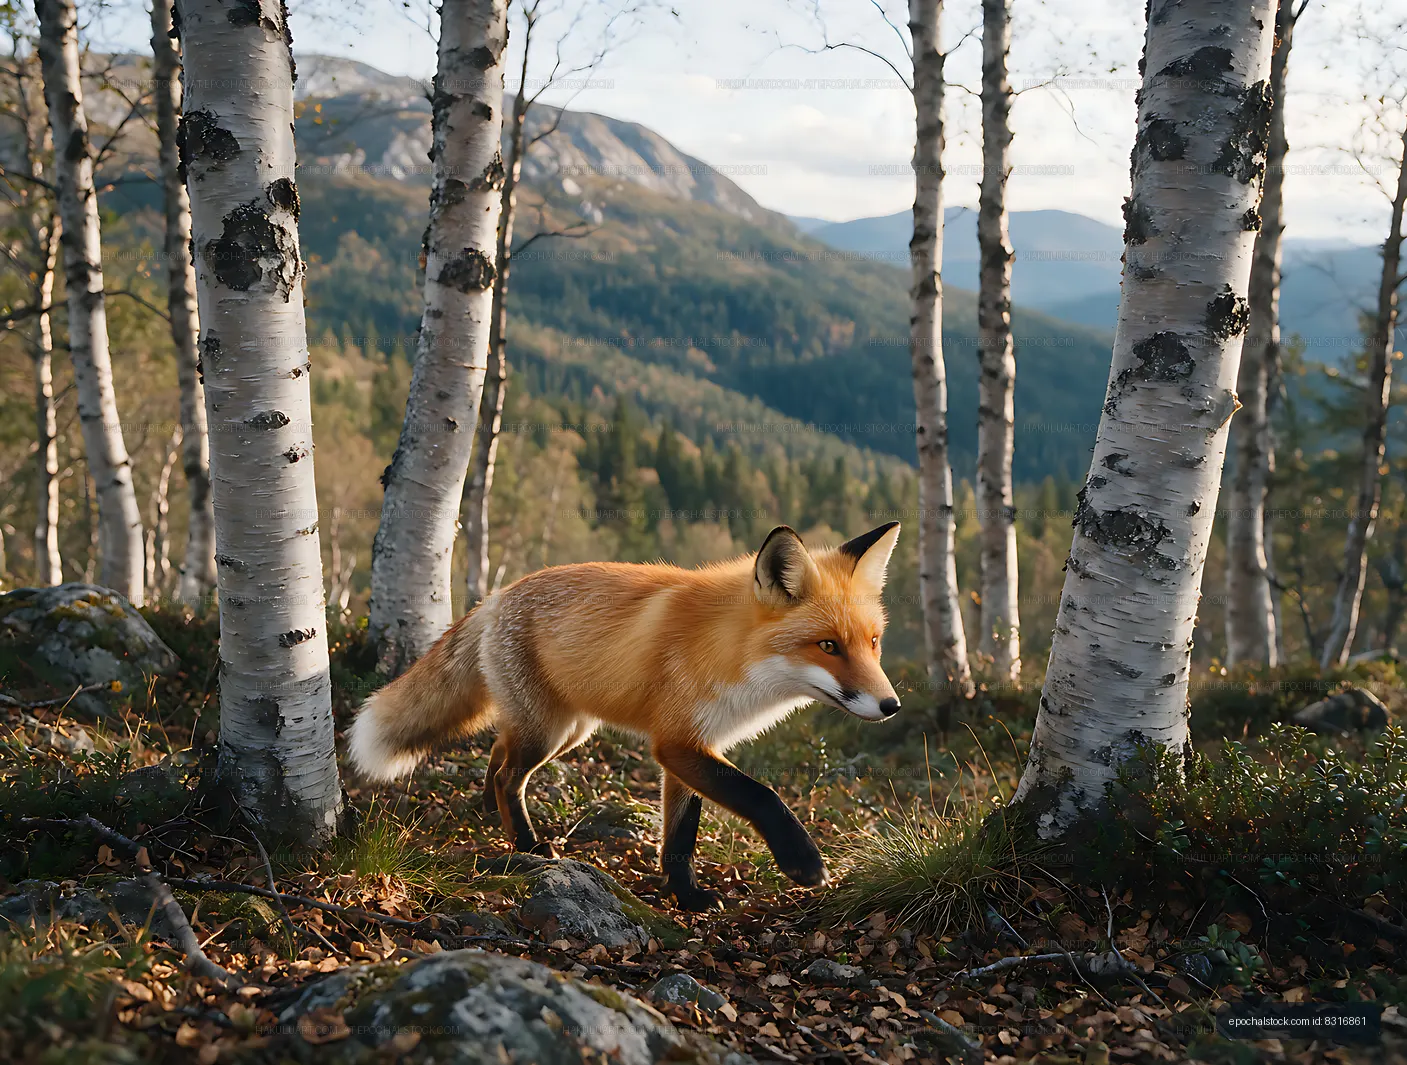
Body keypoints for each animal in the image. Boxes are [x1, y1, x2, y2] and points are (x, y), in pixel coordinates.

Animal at [346, 521, 903, 911]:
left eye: (874, 642)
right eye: (828, 646)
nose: (891, 705)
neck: (732, 654)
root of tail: (497, 595)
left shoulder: (693, 747)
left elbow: (681, 835)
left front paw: (686, 895)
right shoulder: (676, 742)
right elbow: (761, 795)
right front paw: (802, 861)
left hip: (567, 730)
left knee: (500, 750)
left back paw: (491, 812)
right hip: (549, 732)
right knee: (509, 775)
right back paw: (528, 844)